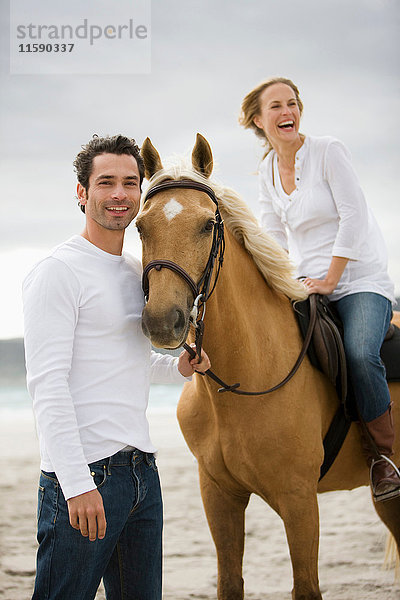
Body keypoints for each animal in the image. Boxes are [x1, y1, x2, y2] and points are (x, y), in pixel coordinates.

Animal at [135, 135, 400, 600]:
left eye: (207, 226)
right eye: (140, 226)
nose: (163, 322)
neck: (243, 382)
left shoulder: (299, 501)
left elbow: (306, 586)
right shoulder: (218, 496)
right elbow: (229, 582)